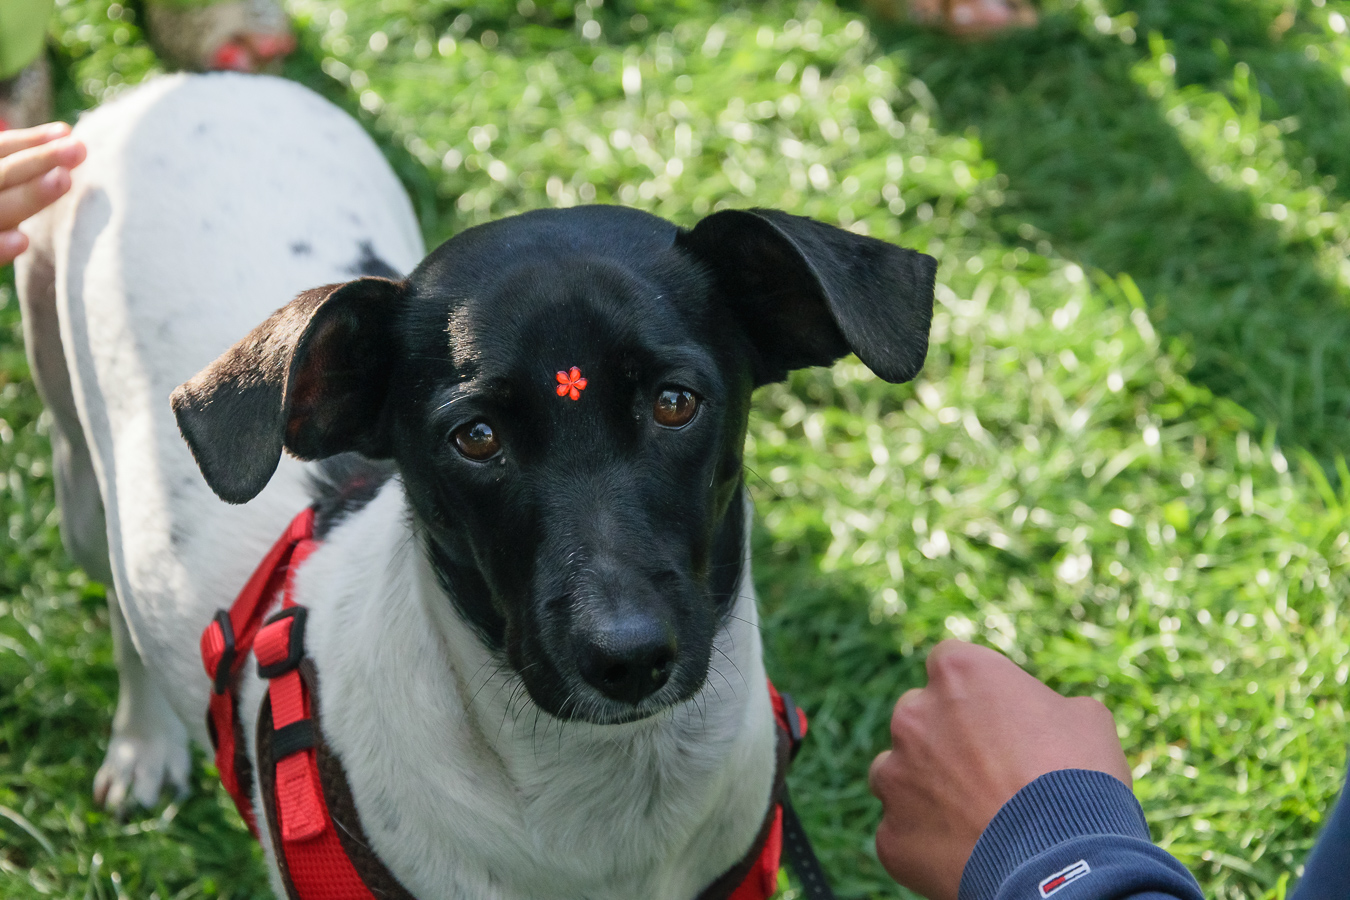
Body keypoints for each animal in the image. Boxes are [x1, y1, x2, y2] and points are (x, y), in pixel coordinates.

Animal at [17, 73, 934, 899]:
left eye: (677, 403)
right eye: (476, 439)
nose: (628, 657)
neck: (607, 805)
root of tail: (189, 82)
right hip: (79, 484)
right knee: (118, 602)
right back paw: (143, 742)